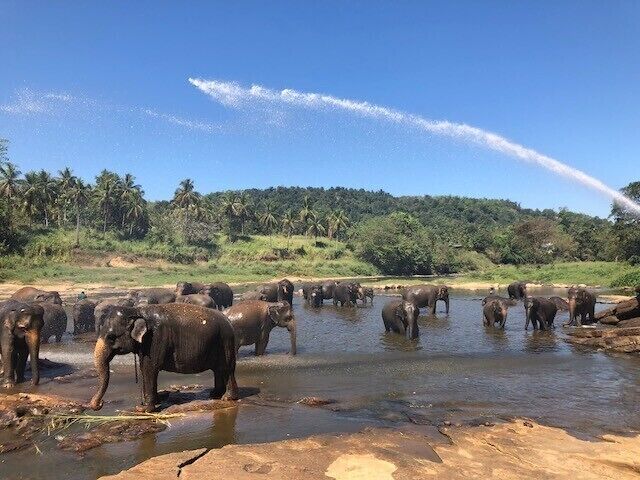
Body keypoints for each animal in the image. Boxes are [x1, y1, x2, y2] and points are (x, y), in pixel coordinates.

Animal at [88, 303, 239, 412]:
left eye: (111, 337)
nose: (100, 404)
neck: (137, 311)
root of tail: (228, 321)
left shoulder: (155, 339)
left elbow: (149, 368)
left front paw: (144, 409)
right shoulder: (146, 344)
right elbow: (144, 369)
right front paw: (156, 401)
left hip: (225, 342)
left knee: (226, 369)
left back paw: (227, 398)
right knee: (218, 370)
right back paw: (215, 395)